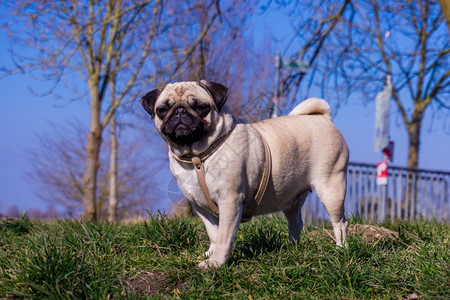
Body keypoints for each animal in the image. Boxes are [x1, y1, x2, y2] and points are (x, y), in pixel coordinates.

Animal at [140, 80, 348, 270]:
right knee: (296, 223)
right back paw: (292, 250)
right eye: (163, 109)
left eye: (200, 107)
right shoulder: (200, 206)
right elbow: (214, 234)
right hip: (292, 200)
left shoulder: (229, 201)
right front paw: (211, 254)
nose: (180, 112)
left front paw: (216, 263)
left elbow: (224, 237)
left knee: (340, 223)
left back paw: (341, 250)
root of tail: (323, 119)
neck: (196, 157)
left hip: (331, 188)